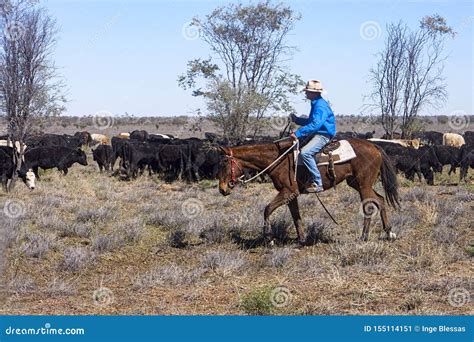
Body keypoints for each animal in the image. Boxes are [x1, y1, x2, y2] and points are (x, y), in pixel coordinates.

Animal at [218, 139, 400, 246]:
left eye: (225, 163)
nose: (222, 189)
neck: (278, 160)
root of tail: (375, 146)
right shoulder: (291, 195)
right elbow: (296, 216)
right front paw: (302, 240)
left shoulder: (287, 192)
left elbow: (267, 209)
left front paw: (268, 239)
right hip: (356, 183)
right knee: (380, 199)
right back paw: (389, 232)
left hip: (363, 185)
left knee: (369, 205)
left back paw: (364, 236)